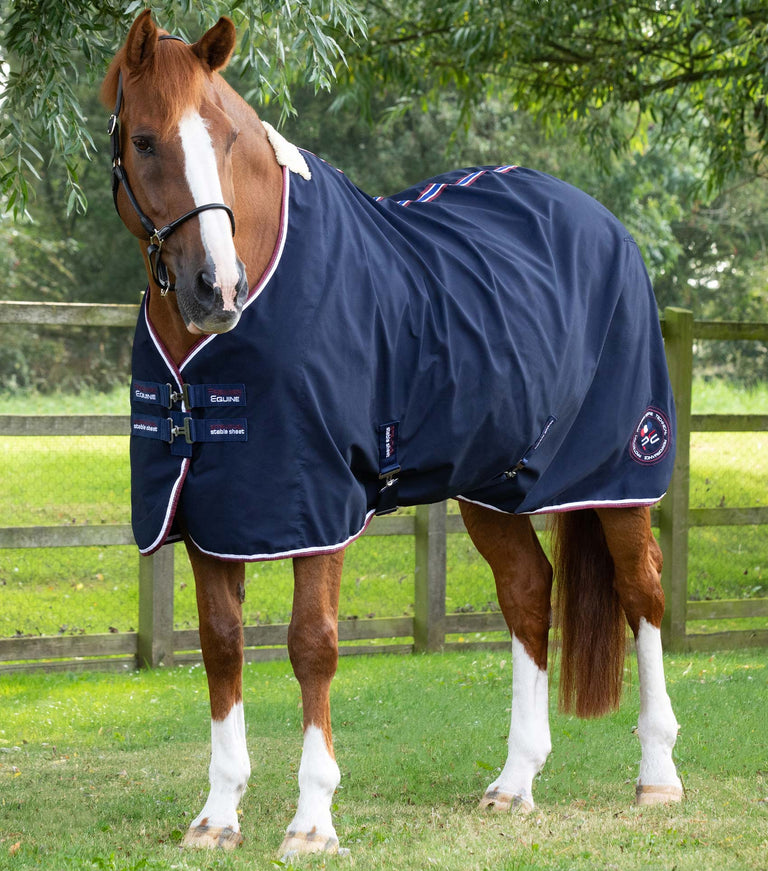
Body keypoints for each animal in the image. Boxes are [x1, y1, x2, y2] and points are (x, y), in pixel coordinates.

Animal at [101, 11, 683, 857]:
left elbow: (311, 644)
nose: (219, 289)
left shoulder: (316, 503)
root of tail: (602, 222)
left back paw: (658, 775)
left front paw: (312, 820)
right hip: (492, 484)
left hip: (620, 472)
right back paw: (515, 781)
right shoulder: (213, 509)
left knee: (643, 592)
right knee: (527, 592)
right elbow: (220, 643)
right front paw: (218, 813)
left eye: (228, 138)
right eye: (145, 140)